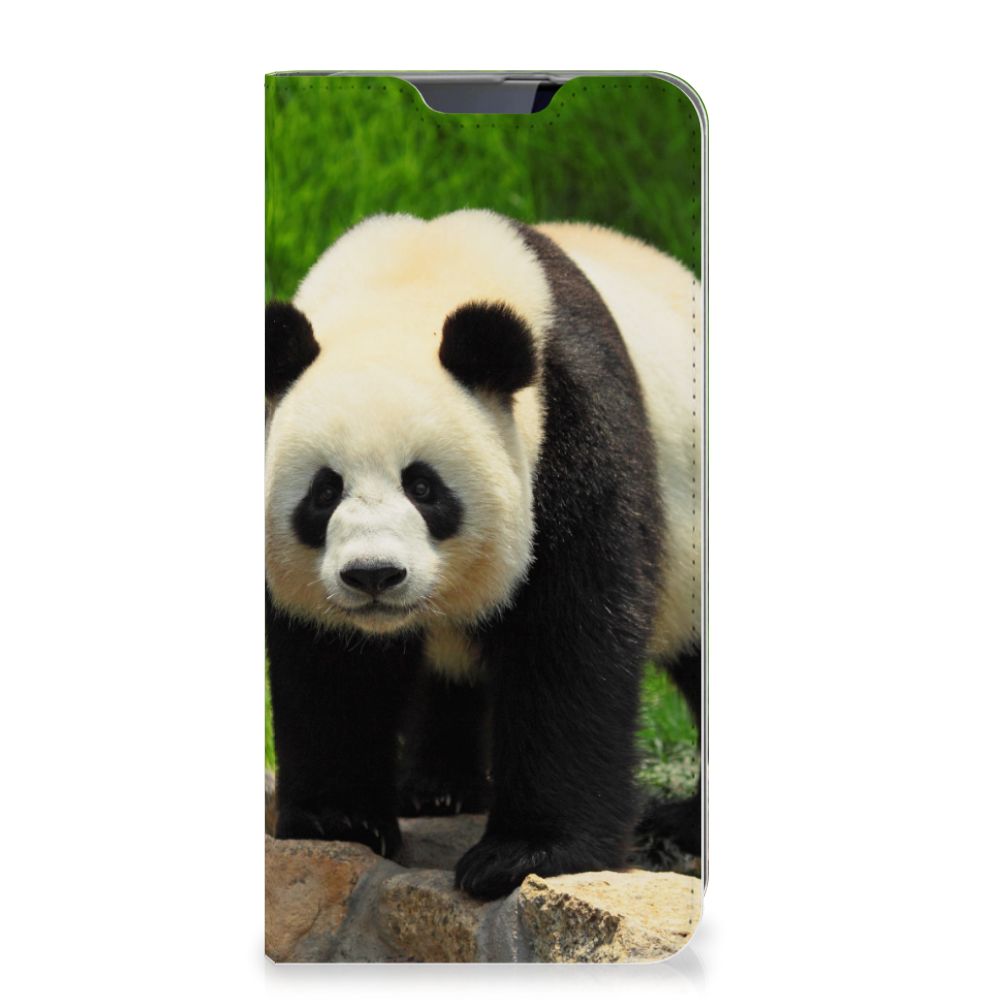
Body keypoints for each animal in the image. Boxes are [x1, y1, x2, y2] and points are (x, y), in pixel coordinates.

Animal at [265, 209, 703, 900]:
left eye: (423, 487)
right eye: (324, 491)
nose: (373, 576)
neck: (410, 283)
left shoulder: (572, 429)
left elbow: (570, 638)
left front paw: (524, 855)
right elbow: (328, 660)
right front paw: (340, 820)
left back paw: (681, 824)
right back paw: (437, 789)